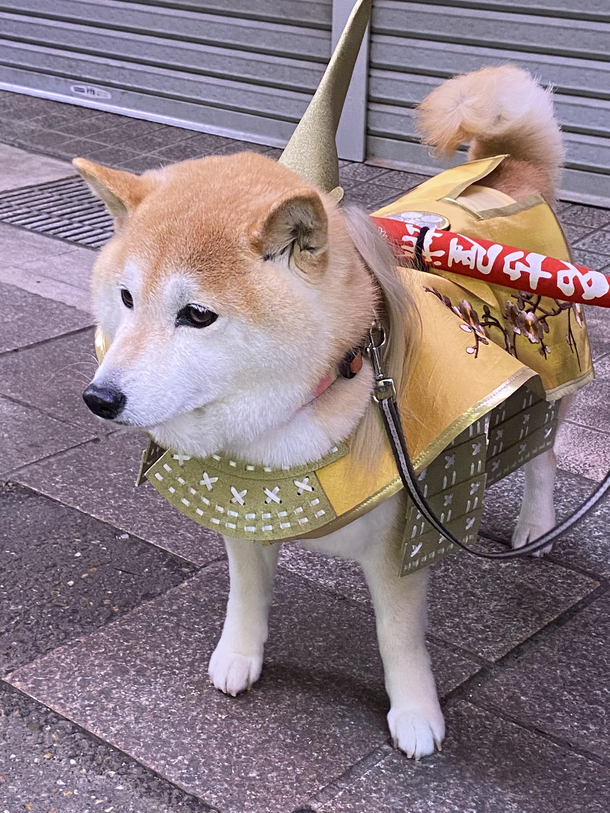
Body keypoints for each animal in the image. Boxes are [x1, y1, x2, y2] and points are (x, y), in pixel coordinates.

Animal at [77, 65, 568, 760]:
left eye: (196, 315)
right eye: (125, 298)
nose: (100, 398)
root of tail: (508, 170)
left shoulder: (401, 540)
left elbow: (398, 639)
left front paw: (415, 714)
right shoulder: (243, 505)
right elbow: (246, 594)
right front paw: (239, 657)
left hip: (551, 374)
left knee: (543, 450)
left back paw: (536, 523)